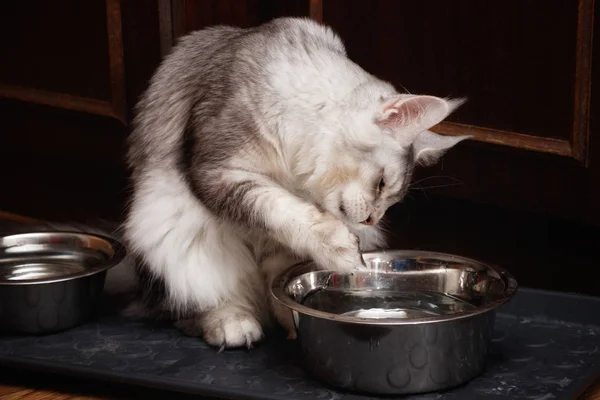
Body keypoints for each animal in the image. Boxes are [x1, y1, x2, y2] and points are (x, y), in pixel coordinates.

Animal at [122, 15, 468, 348]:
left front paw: (292, 315)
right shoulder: (219, 170)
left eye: (390, 199)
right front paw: (340, 249)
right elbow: (282, 210)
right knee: (190, 306)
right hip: (169, 232)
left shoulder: (279, 237)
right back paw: (231, 322)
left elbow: (284, 262)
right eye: (382, 183)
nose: (371, 219)